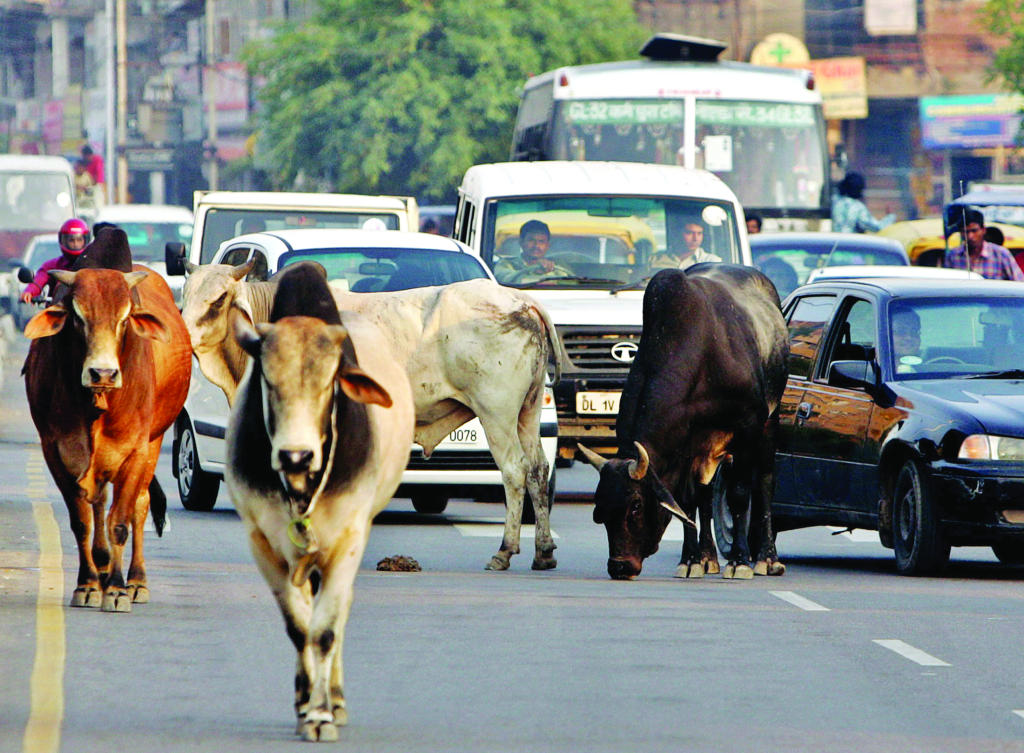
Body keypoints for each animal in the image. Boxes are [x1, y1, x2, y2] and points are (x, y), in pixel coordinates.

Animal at [23, 259, 192, 614]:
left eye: (125, 317)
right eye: (77, 316)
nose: (103, 373)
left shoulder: (135, 451)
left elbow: (120, 522)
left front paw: (116, 589)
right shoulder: (55, 451)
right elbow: (82, 521)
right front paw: (87, 585)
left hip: (153, 443)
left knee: (139, 506)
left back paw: (136, 581)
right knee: (99, 503)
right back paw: (101, 570)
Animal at [180, 264, 557, 569]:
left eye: (218, 300)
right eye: (184, 296)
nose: (184, 337)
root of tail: (521, 300)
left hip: (497, 414)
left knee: (514, 472)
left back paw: (505, 551)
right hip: (528, 412)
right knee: (538, 469)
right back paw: (543, 552)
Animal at [226, 264, 413, 741]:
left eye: (330, 383)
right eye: (268, 381)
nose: (296, 455)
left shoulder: (348, 538)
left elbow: (325, 630)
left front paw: (323, 714)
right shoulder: (262, 543)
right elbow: (299, 628)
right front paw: (305, 704)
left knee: (338, 613)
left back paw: (337, 698)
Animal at [581, 264, 786, 581]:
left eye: (636, 506)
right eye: (599, 508)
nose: (619, 566)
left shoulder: (748, 427)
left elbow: (740, 495)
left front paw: (739, 561)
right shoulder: (686, 444)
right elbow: (687, 502)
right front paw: (691, 560)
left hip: (769, 424)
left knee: (764, 482)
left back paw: (767, 558)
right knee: (704, 496)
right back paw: (708, 557)